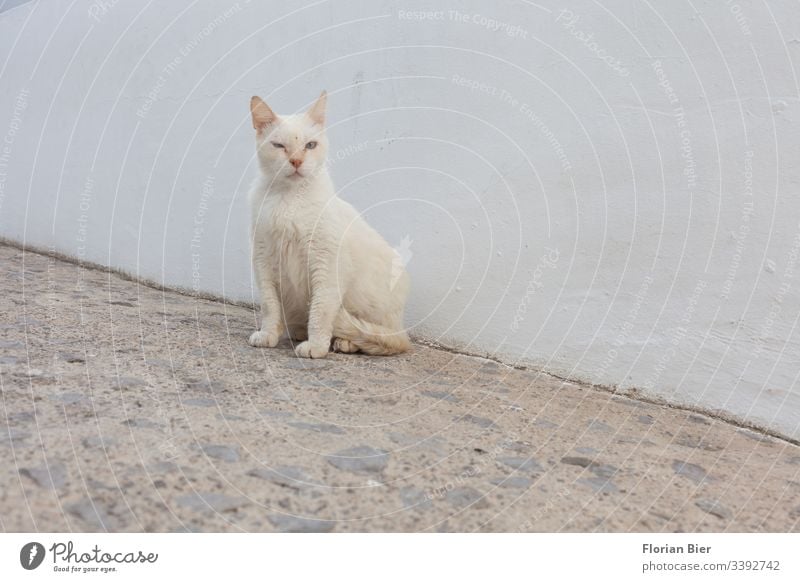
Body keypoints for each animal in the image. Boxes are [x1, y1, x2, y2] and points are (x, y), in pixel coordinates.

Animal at [248, 91, 412, 358]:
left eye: (310, 146)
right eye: (279, 146)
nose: (296, 161)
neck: (288, 200)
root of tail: (402, 327)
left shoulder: (326, 265)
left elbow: (321, 311)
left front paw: (316, 346)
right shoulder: (263, 260)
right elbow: (269, 306)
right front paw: (267, 335)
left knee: (379, 339)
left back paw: (343, 342)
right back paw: (298, 331)